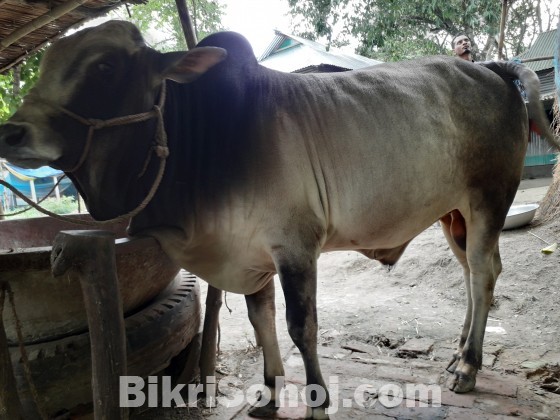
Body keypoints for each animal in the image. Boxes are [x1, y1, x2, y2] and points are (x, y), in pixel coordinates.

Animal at [0, 21, 556, 418]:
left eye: (104, 67)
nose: (13, 131)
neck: (208, 137)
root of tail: (490, 68)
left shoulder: (295, 247)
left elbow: (299, 326)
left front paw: (317, 404)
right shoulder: (249, 255)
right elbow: (260, 320)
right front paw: (268, 395)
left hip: (487, 201)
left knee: (483, 274)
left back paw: (468, 367)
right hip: (452, 214)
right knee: (471, 277)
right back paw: (459, 353)